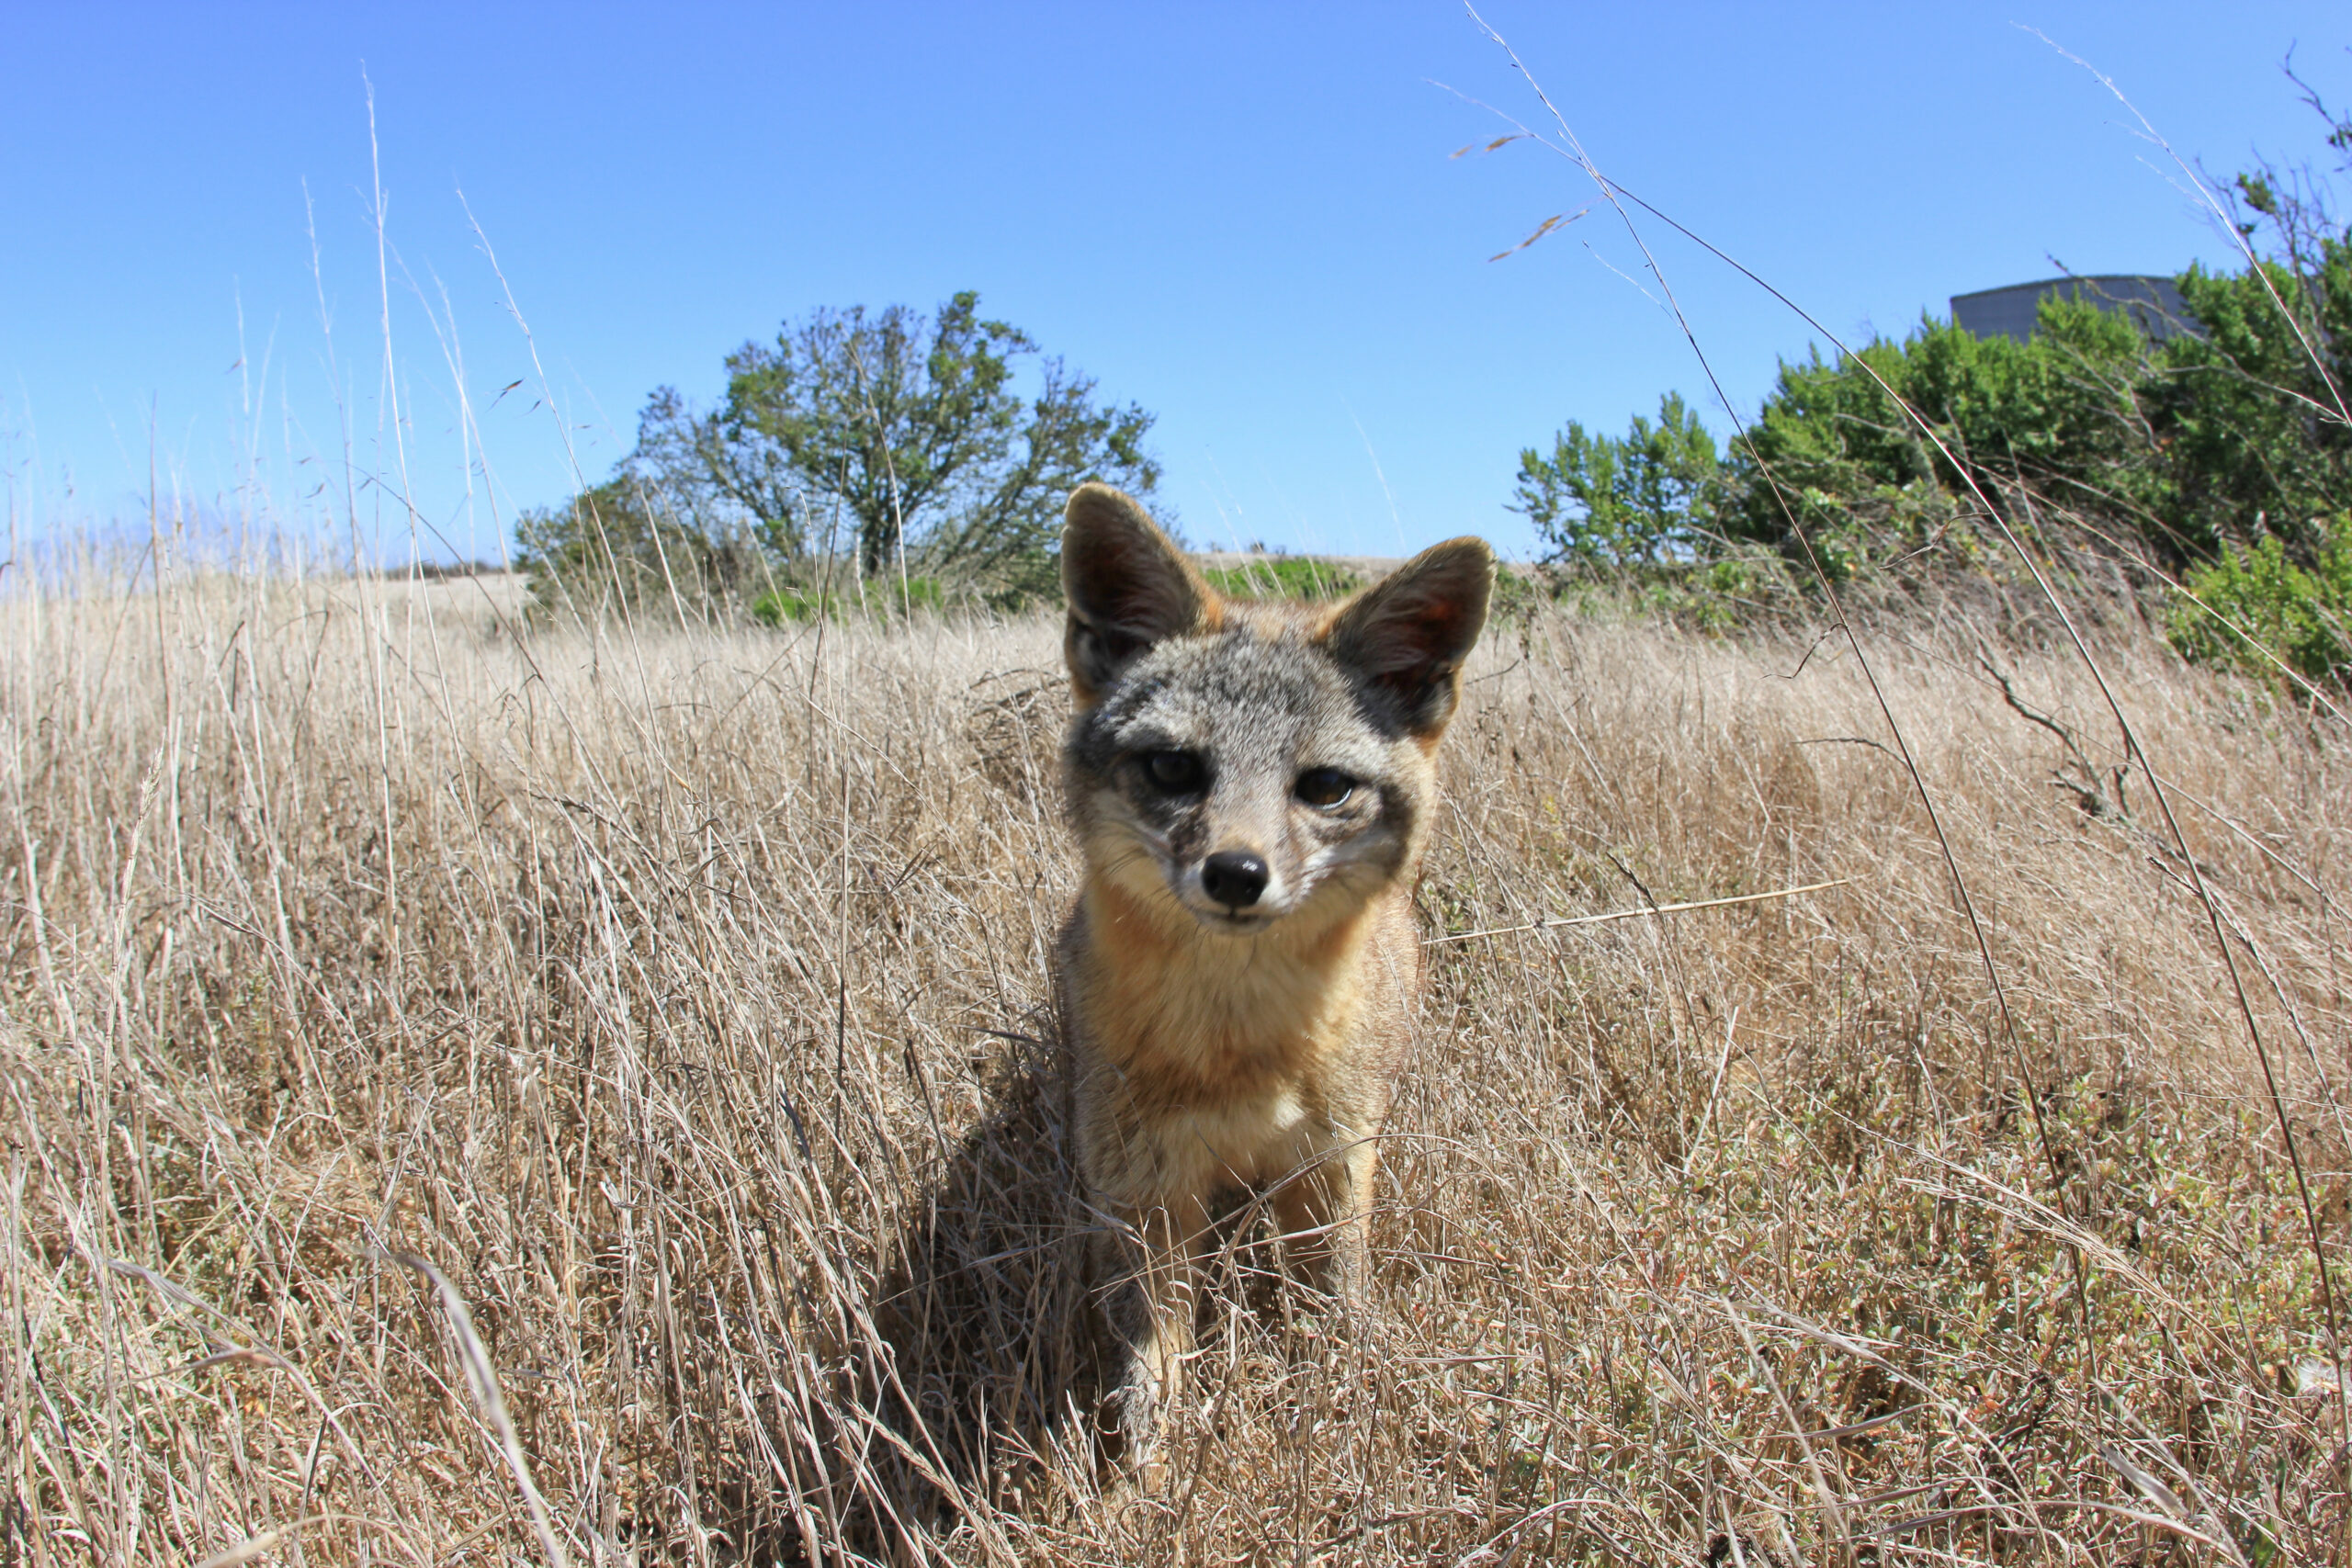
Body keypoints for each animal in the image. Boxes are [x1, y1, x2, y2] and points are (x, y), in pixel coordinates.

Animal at [1053, 481, 1486, 1476]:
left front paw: (1347, 1408)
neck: (1236, 1048)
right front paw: (1143, 1470)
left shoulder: (1332, 1166)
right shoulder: (1146, 1188)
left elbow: (1335, 1308)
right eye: (1175, 768)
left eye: (1323, 787)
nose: (1236, 874)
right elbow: (1150, 1353)